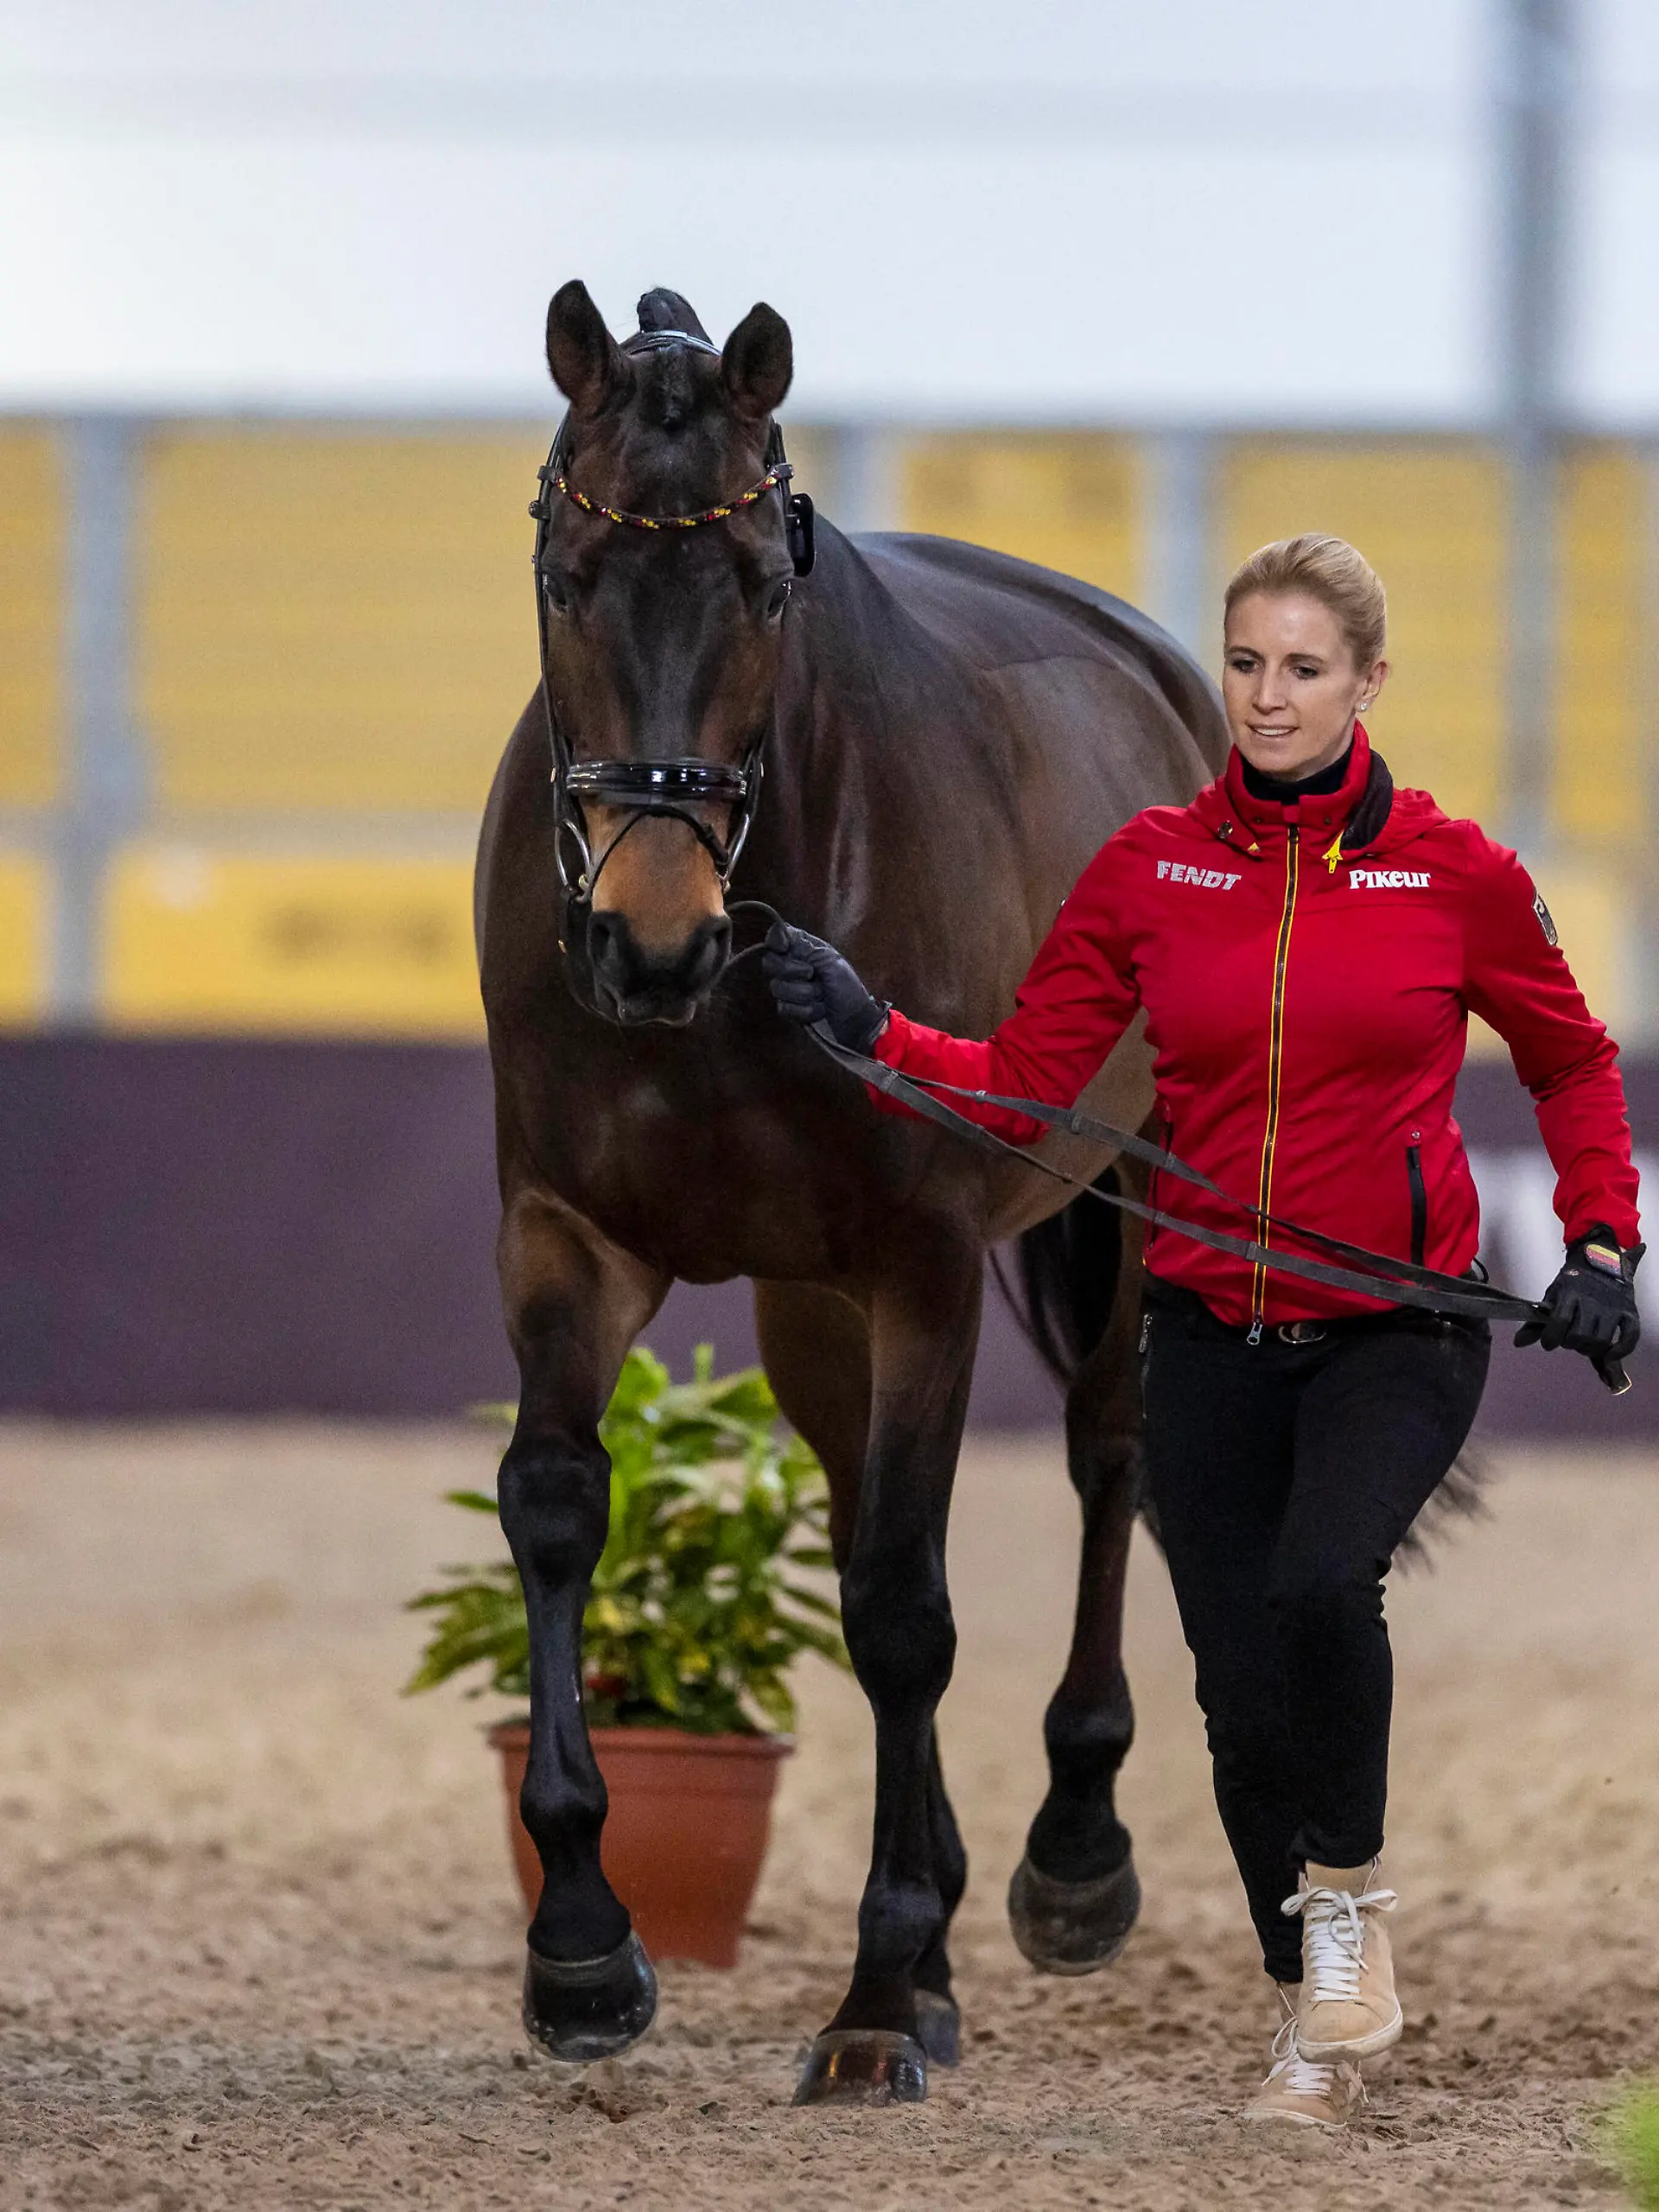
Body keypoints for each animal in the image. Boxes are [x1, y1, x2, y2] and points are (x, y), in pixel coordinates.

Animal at [475, 279, 1229, 2105]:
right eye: (565, 571)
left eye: (762, 581)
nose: (653, 940)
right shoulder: (569, 1238)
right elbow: (559, 1510)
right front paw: (583, 1949)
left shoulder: (923, 1263)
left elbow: (899, 1607)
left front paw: (882, 1995)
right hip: (808, 1298)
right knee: (851, 1494)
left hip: (1117, 1204)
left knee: (1108, 1458)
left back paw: (1067, 1863)